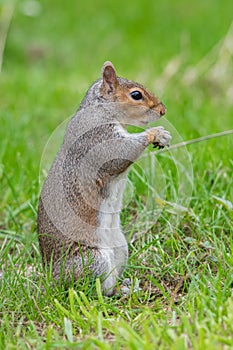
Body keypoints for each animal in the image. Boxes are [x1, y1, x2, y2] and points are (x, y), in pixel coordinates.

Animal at [36, 60, 171, 296]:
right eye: (136, 95)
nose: (162, 110)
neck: (101, 108)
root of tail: (53, 279)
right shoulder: (97, 138)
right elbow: (120, 152)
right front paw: (156, 133)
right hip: (92, 261)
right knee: (94, 291)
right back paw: (121, 292)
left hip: (120, 249)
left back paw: (127, 286)